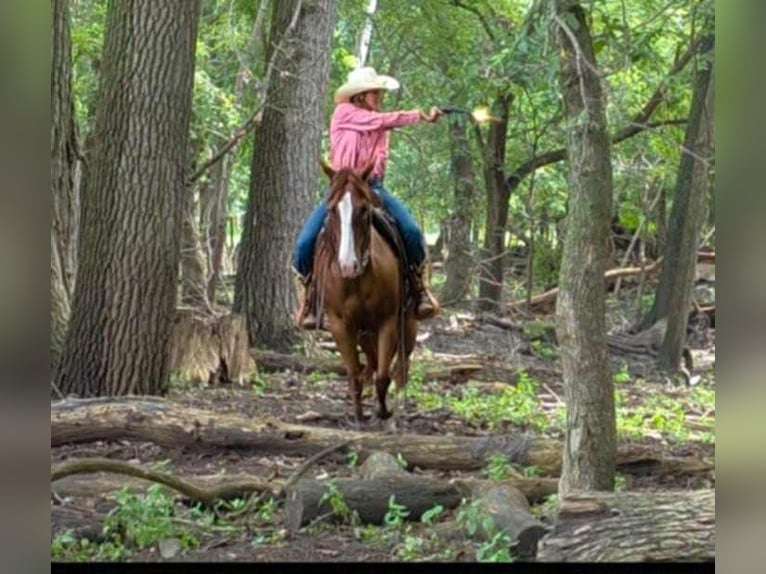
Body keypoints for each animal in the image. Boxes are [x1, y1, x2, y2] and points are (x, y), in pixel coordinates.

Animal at [313, 160, 418, 429]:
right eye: (331, 209)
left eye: (363, 208)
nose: (348, 266)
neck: (357, 280)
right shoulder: (340, 324)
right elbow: (355, 373)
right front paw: (359, 416)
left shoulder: (388, 321)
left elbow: (384, 376)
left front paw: (384, 412)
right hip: (364, 332)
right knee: (372, 361)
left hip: (408, 323)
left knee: (401, 366)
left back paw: (398, 410)